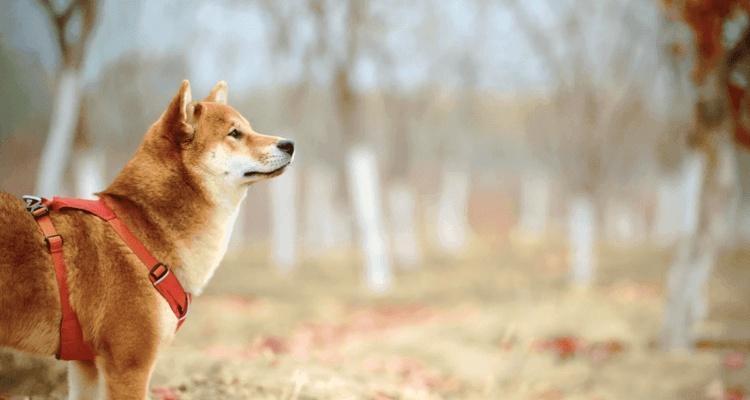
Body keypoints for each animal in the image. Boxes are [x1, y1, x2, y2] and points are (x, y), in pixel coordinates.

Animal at [0, 79, 296, 398]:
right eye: (235, 133)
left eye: (249, 128)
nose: (289, 144)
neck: (143, 226)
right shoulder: (130, 365)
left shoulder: (85, 365)